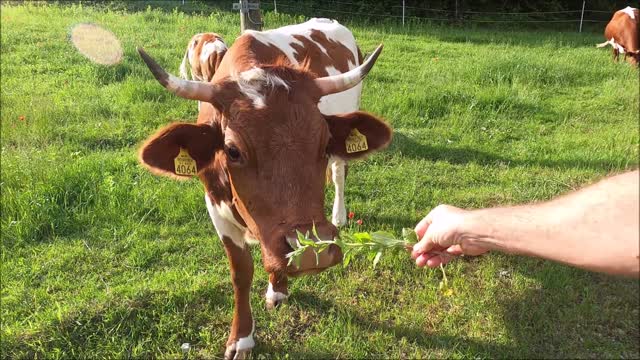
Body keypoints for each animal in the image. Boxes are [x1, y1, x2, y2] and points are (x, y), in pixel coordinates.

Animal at [135, 18, 390, 358]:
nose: (313, 252)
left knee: (338, 174)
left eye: (324, 143)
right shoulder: (214, 205)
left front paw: (275, 292)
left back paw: (338, 214)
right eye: (232, 151)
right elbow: (241, 271)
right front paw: (243, 336)